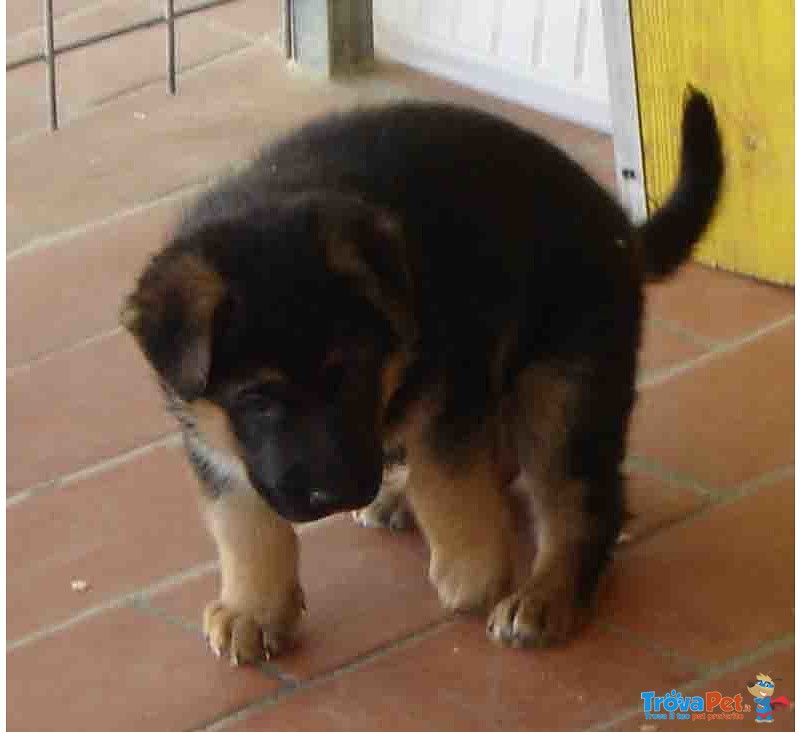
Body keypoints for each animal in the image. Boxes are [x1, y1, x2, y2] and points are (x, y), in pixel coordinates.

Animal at [120, 90, 724, 664]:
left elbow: (446, 475)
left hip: (562, 385)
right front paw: (254, 609)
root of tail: (620, 229)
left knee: (579, 498)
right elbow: (240, 517)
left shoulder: (452, 384)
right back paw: (403, 500)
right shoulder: (209, 434)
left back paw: (545, 596)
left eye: (351, 375)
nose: (333, 494)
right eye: (257, 400)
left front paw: (471, 566)